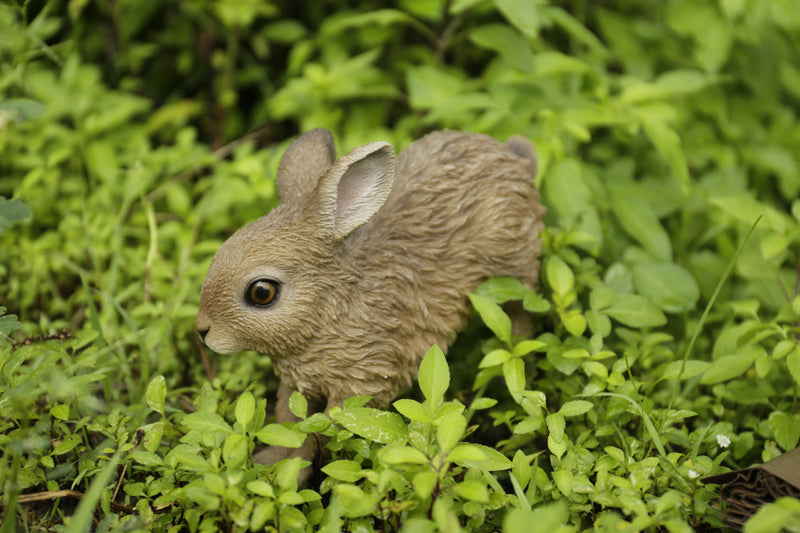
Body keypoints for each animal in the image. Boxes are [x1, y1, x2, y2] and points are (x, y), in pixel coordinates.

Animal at [195, 129, 544, 470]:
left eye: (262, 293)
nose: (202, 331)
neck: (329, 313)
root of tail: (514, 159)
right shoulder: (297, 386)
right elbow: (291, 424)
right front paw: (272, 462)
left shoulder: (363, 378)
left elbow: (323, 430)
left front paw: (291, 471)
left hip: (514, 263)